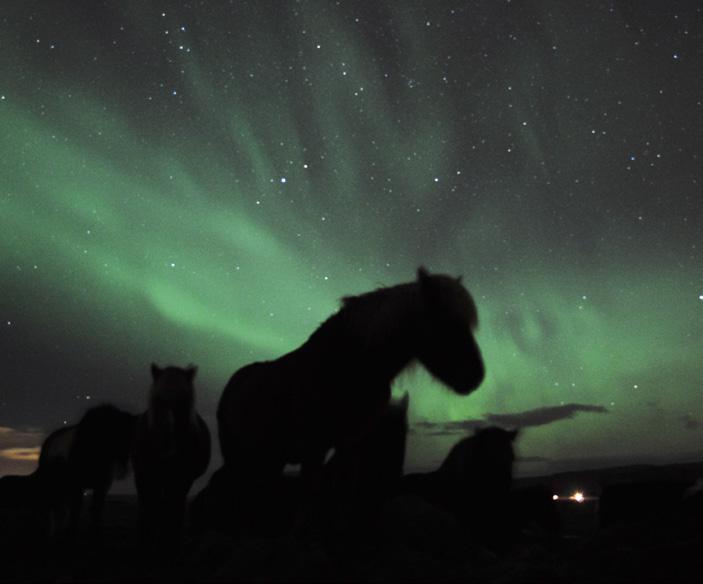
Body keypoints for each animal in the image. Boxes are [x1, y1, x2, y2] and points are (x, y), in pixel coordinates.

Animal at [133, 362, 212, 556]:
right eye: (157, 399)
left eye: (184, 400)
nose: (169, 448)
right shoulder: (146, 478)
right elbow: (148, 510)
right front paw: (144, 548)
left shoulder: (181, 480)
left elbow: (173, 511)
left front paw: (167, 547)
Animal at [217, 266, 486, 486]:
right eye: (444, 321)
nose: (477, 377)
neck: (348, 364)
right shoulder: (314, 448)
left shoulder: (349, 445)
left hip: (270, 459)